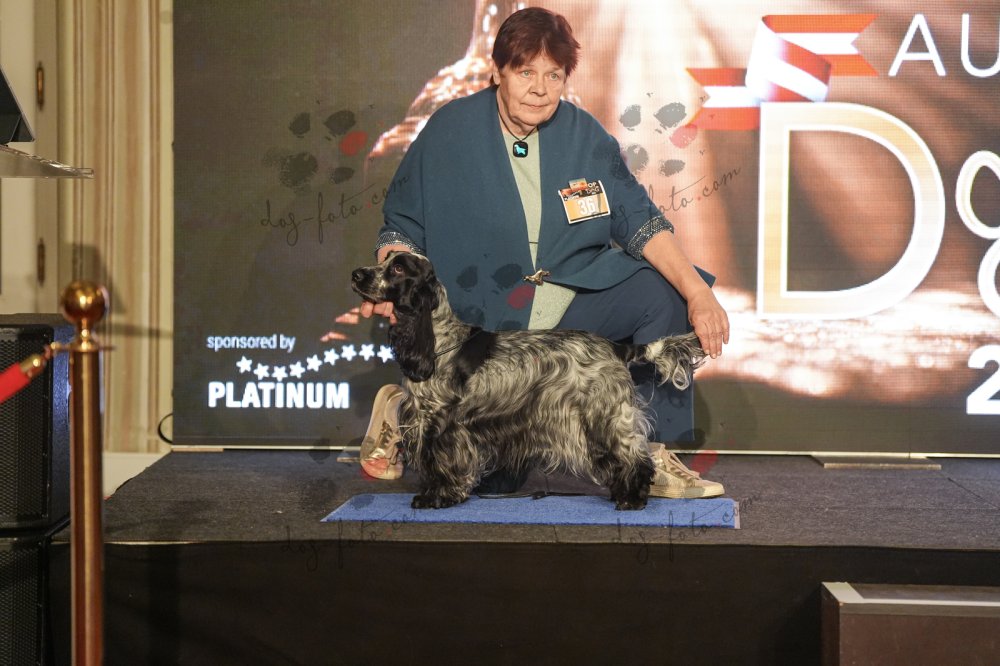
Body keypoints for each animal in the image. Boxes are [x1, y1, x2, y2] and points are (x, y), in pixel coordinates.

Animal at [351, 252, 707, 510]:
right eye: (384, 260)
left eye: (397, 268)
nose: (357, 274)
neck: (439, 339)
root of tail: (617, 347)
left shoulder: (443, 425)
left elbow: (443, 464)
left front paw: (436, 497)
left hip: (603, 414)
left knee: (633, 457)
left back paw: (631, 500)